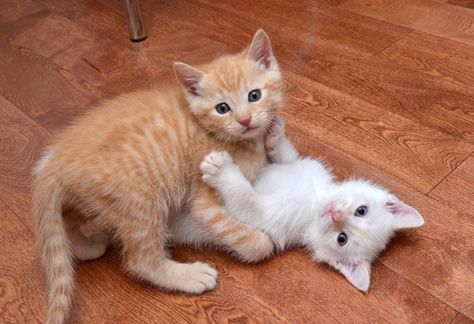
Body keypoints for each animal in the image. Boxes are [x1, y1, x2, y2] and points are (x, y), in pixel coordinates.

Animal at [33, 29, 284, 322]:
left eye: (254, 95)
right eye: (222, 109)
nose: (245, 120)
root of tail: (55, 160)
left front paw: (274, 135)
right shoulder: (203, 199)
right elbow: (243, 234)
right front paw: (258, 243)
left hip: (94, 197)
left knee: (67, 219)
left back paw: (86, 246)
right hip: (139, 200)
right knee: (140, 260)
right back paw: (188, 275)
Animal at [190, 118, 426, 292]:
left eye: (342, 239)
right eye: (362, 211)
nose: (334, 213)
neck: (315, 197)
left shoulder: (265, 217)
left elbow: (244, 198)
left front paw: (221, 169)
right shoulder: (301, 166)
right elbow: (286, 157)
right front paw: (274, 134)